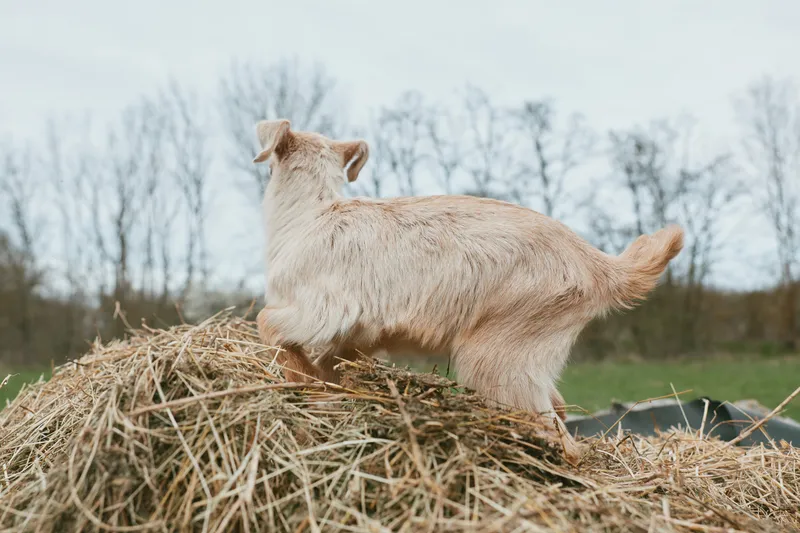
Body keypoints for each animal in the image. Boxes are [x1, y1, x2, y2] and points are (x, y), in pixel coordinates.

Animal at [253, 119, 683, 462]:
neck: (310, 215)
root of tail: (599, 265)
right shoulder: (358, 334)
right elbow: (332, 364)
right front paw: (323, 390)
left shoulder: (323, 309)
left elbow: (267, 323)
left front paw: (299, 379)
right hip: (527, 357)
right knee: (559, 409)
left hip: (498, 356)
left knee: (560, 437)